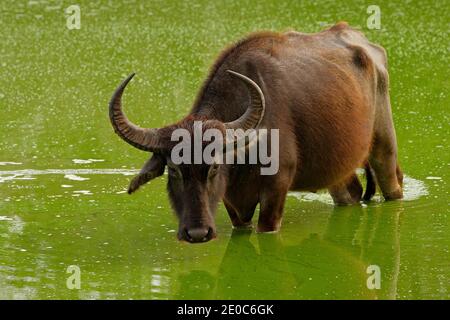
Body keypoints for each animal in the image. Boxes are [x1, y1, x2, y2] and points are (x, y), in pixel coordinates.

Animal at [110, 22, 404, 242]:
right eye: (173, 169)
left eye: (213, 167)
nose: (197, 233)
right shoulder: (233, 203)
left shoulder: (276, 190)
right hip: (336, 166)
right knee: (351, 193)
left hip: (384, 145)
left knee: (392, 184)